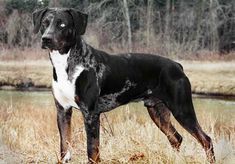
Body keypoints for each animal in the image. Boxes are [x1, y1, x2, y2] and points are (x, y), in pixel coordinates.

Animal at [32, 7, 216, 163]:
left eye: (62, 24)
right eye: (45, 23)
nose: (46, 39)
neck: (65, 64)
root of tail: (177, 65)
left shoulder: (91, 114)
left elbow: (92, 150)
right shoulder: (63, 111)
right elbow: (64, 147)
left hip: (182, 110)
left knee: (206, 140)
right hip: (158, 112)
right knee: (176, 138)